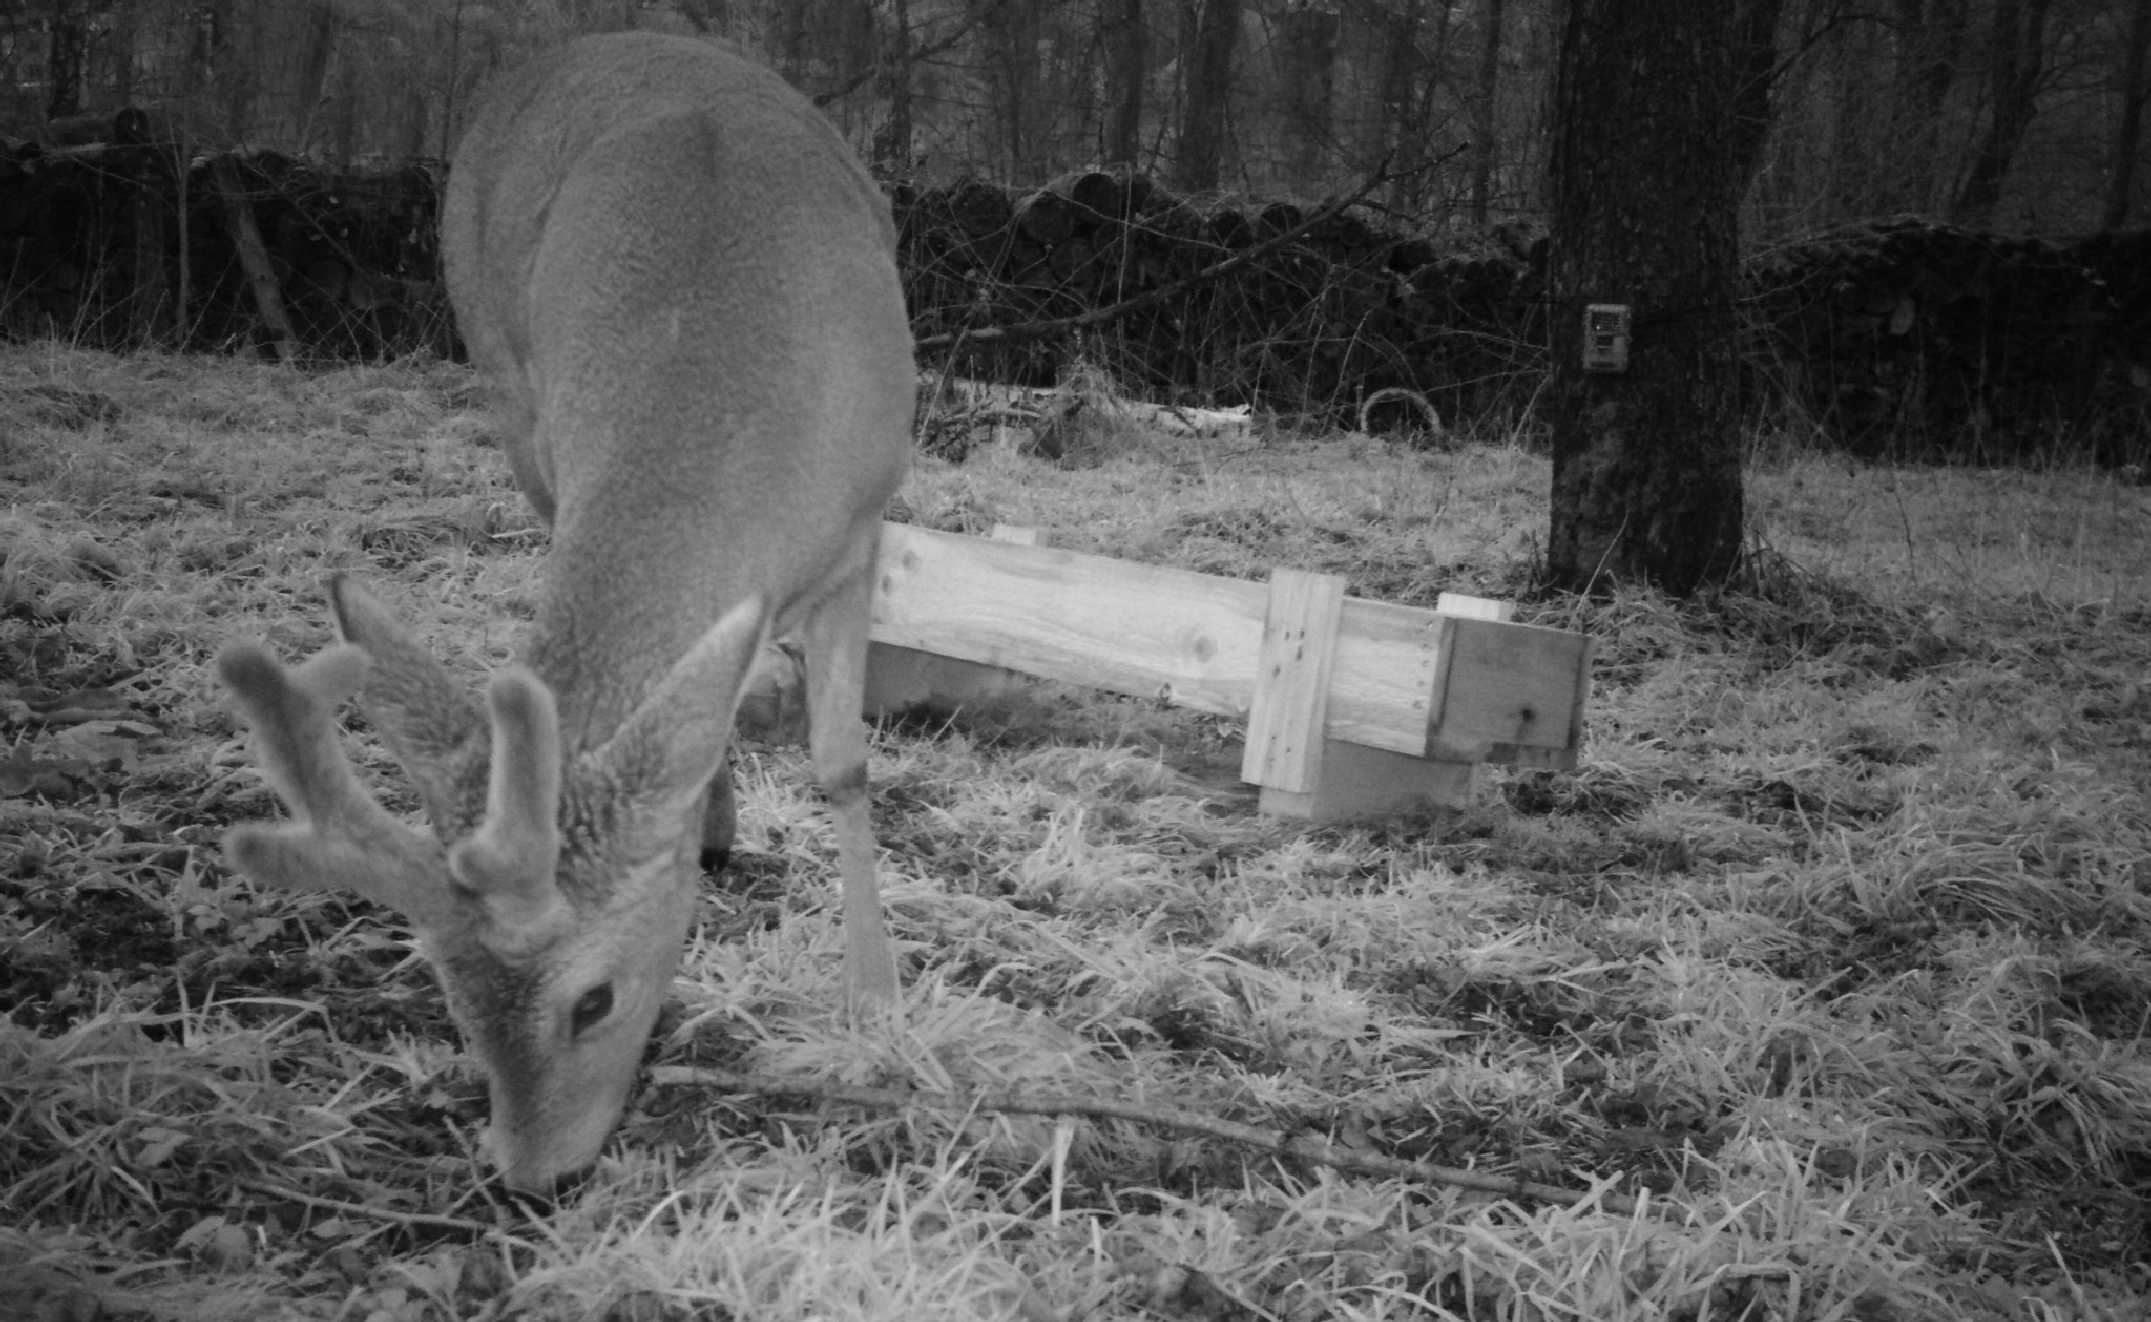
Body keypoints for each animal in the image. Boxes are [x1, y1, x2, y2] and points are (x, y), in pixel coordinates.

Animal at [209, 31, 907, 1195]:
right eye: (446, 986)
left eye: (594, 1000)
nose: (531, 1173)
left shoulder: (869, 522)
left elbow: (842, 763)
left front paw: (871, 998)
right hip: (504, 378)